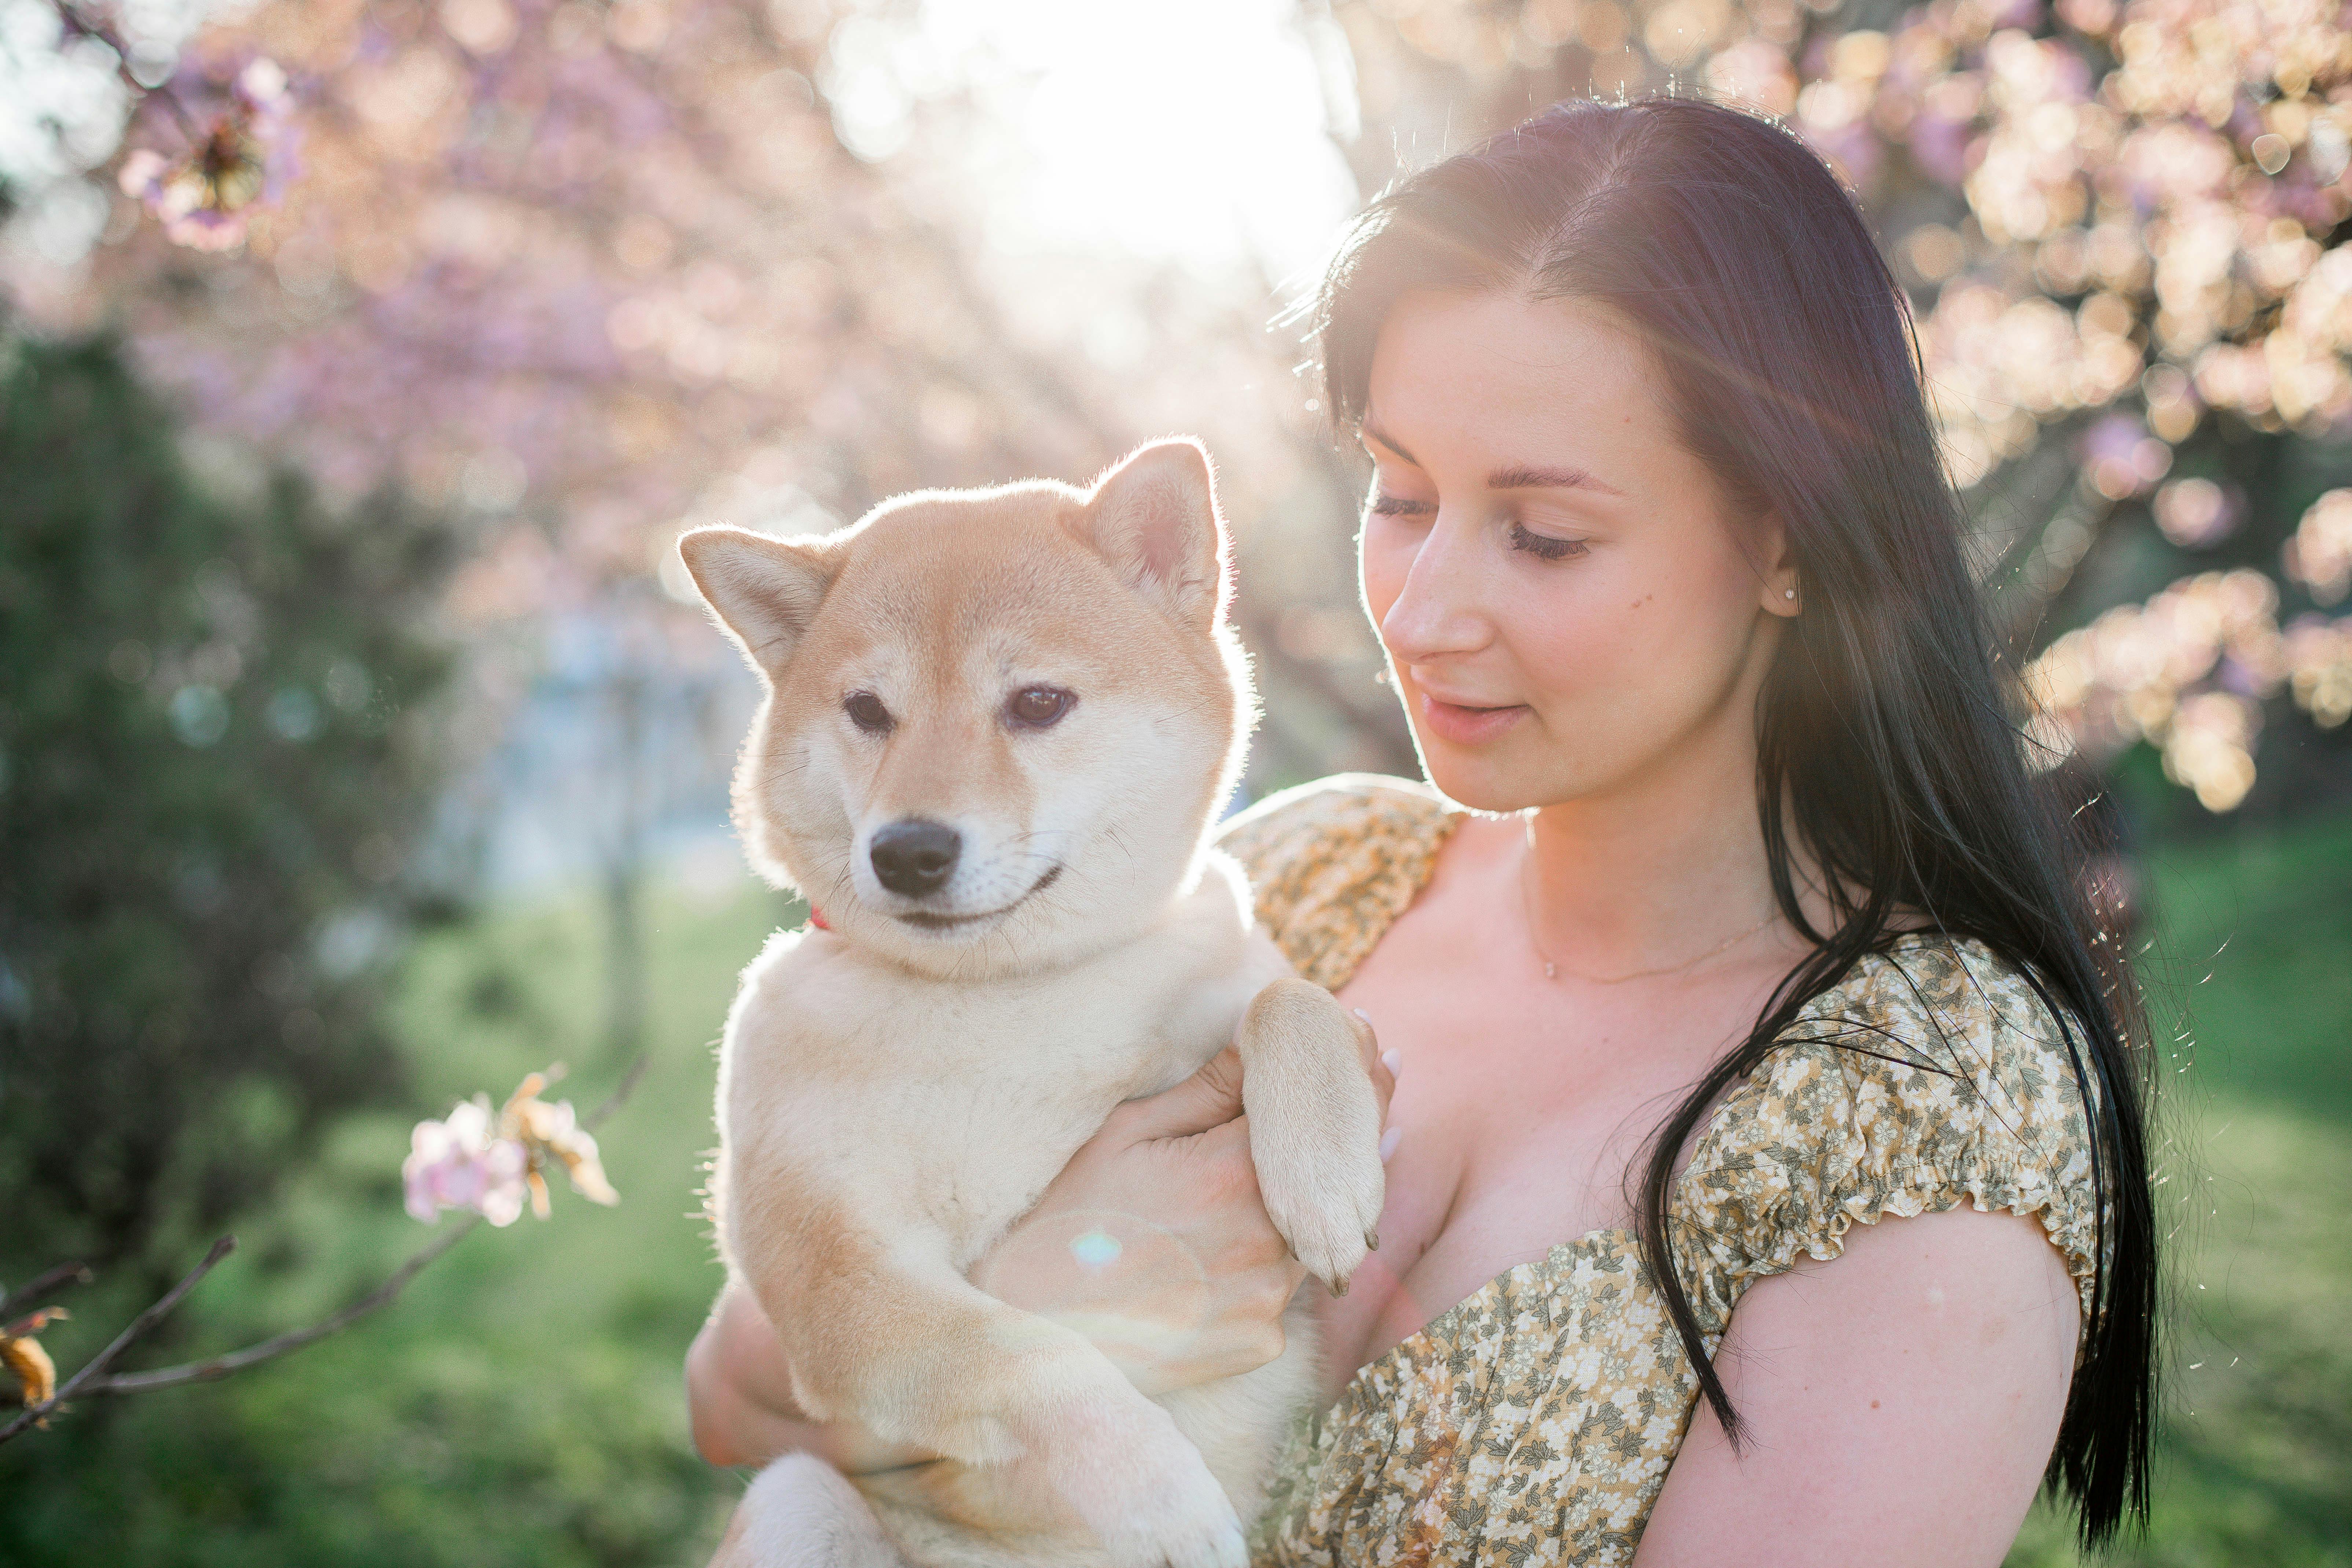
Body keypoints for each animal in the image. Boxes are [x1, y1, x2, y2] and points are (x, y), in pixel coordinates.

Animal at [682, 442, 1373, 1568]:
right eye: (867, 711)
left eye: (1039, 704)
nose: (907, 850)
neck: (1008, 997)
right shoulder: (832, 1275)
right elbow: (1023, 1356)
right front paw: (1152, 1491)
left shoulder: (1236, 979)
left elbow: (1288, 997)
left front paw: (1321, 1179)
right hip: (802, 1494)